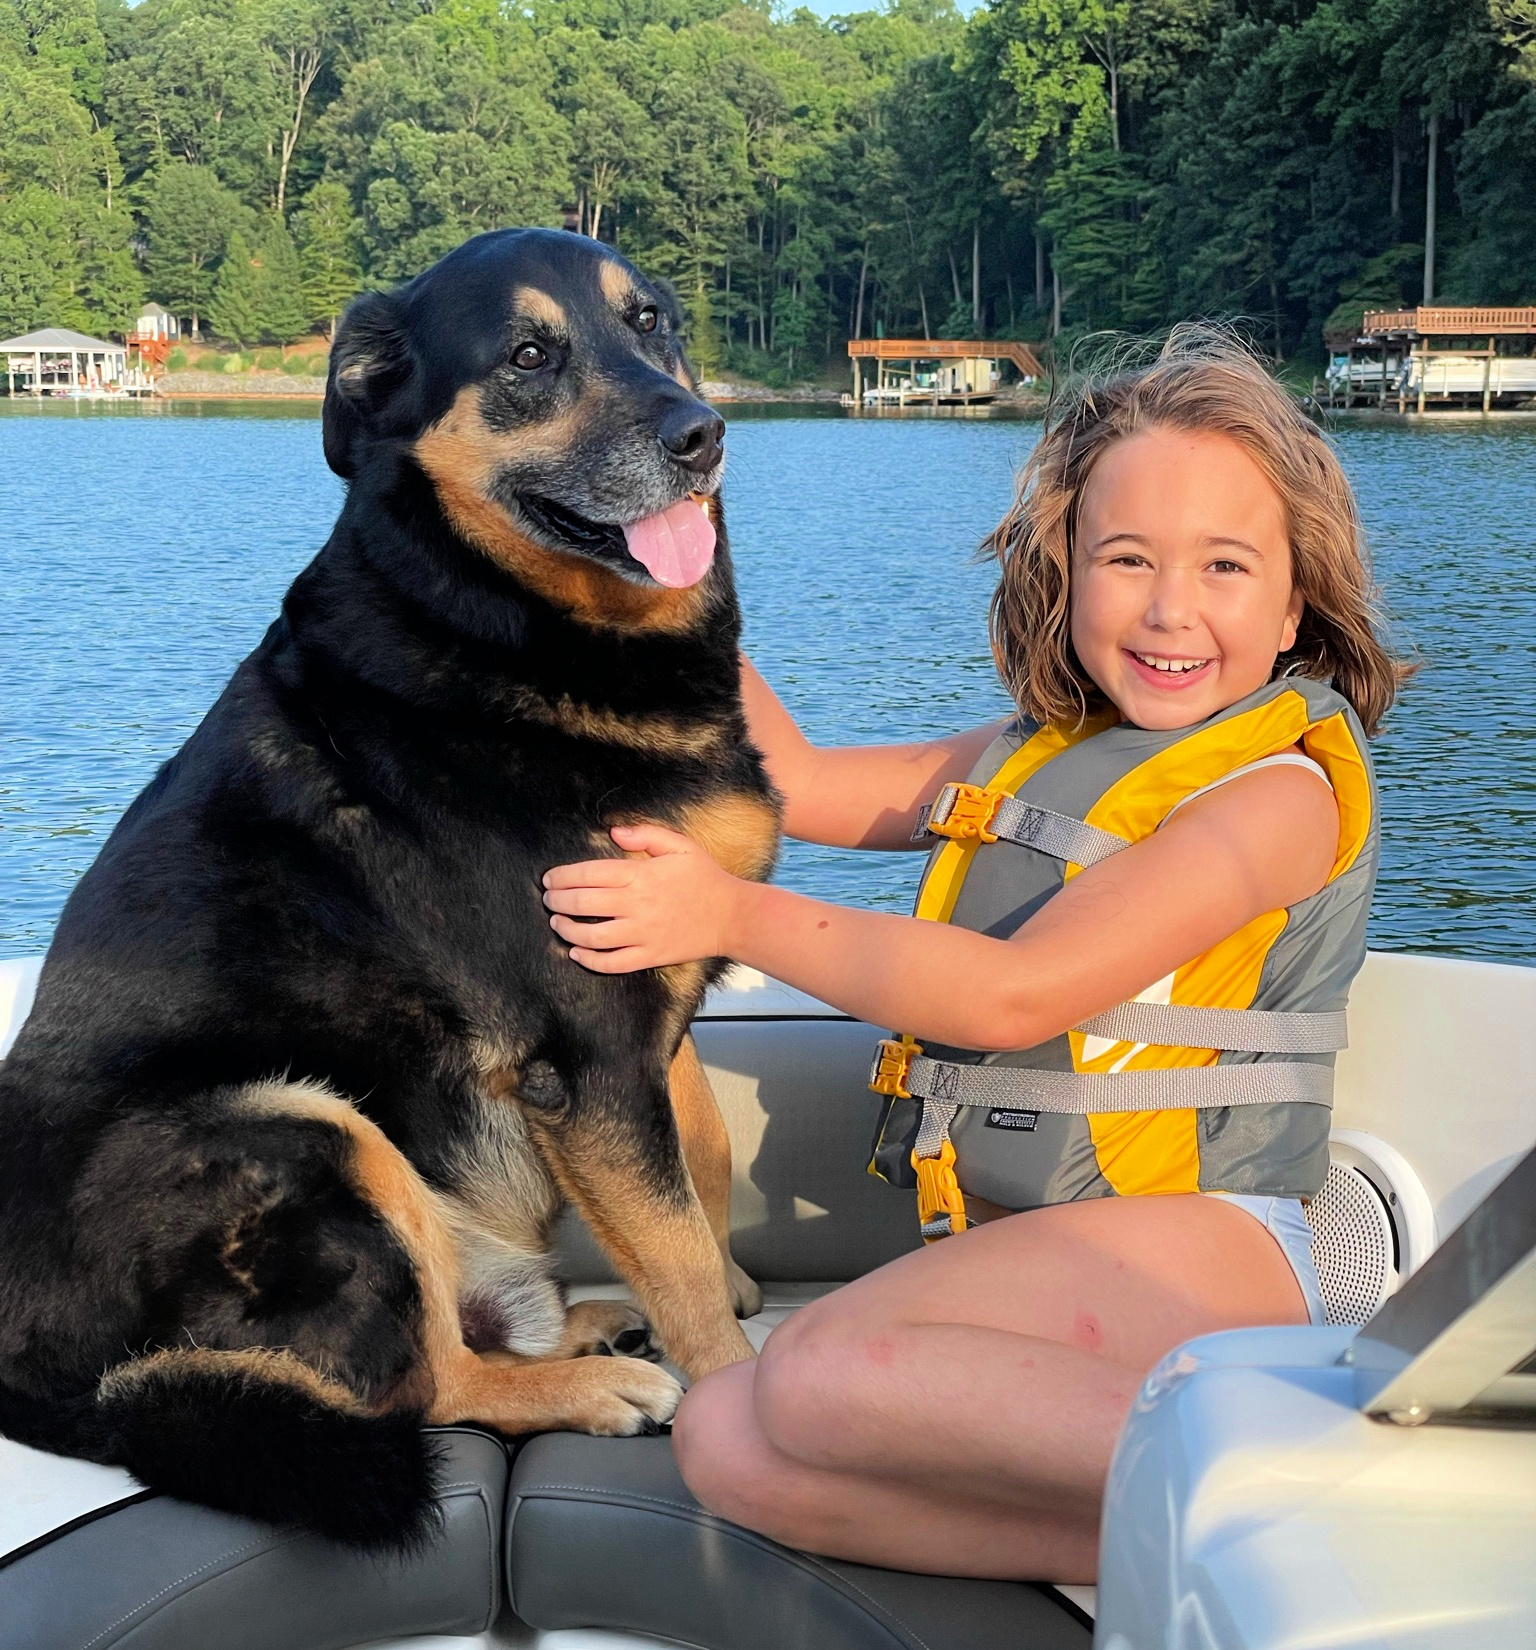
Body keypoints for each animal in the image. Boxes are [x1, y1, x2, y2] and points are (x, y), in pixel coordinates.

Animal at [0, 229, 782, 1544]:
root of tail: (50, 1385)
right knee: (420, 1382)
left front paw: (726, 1287)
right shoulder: (587, 1050)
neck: (491, 620)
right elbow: (673, 1247)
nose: (704, 435)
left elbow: (705, 1168)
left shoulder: (653, 1011)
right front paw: (734, 1400)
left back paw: (581, 1325)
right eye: (528, 356)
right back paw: (595, 1383)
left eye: (652, 323)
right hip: (305, 1129)